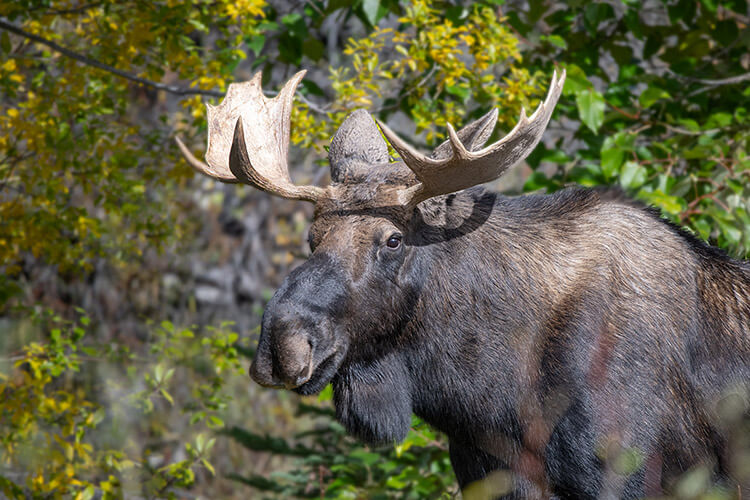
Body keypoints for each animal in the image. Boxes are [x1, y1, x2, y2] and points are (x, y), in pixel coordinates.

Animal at [178, 69, 750, 496]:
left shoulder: (624, 472)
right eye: (311, 238)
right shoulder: (489, 473)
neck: (490, 392)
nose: (281, 345)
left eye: (393, 240)